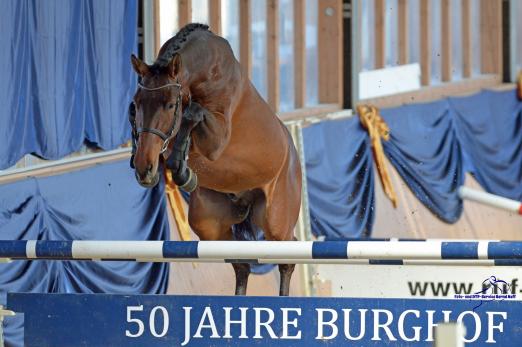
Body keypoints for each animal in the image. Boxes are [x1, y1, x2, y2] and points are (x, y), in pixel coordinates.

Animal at [128, 23, 300, 296]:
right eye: (138, 102)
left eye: (169, 105)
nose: (145, 168)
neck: (202, 72)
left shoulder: (217, 139)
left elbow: (192, 113)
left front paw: (182, 170)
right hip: (209, 222)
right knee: (241, 263)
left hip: (276, 221)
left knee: (287, 255)